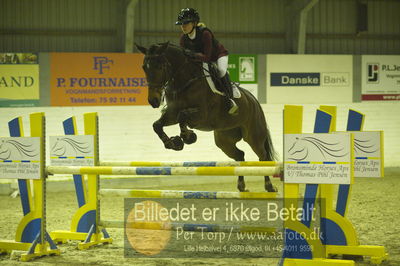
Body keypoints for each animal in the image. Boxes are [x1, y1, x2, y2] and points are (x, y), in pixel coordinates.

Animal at [136, 41, 276, 192]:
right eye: (144, 67)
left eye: (160, 66)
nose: (153, 101)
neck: (184, 81)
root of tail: (253, 100)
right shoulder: (172, 113)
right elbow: (157, 125)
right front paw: (172, 143)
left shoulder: (202, 115)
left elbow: (182, 116)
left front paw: (187, 137)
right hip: (224, 140)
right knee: (240, 155)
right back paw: (241, 186)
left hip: (253, 136)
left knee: (263, 156)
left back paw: (269, 186)